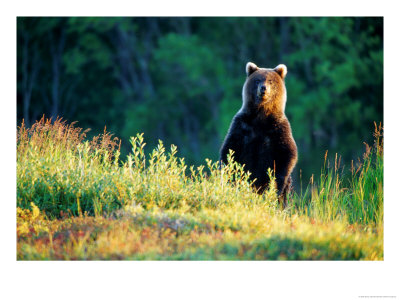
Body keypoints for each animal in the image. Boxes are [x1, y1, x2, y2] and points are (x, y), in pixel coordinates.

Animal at [219, 62, 296, 205]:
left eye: (270, 80)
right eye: (257, 80)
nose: (263, 88)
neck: (261, 116)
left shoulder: (278, 129)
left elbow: (286, 154)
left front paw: (275, 187)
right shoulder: (242, 126)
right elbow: (230, 150)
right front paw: (228, 177)